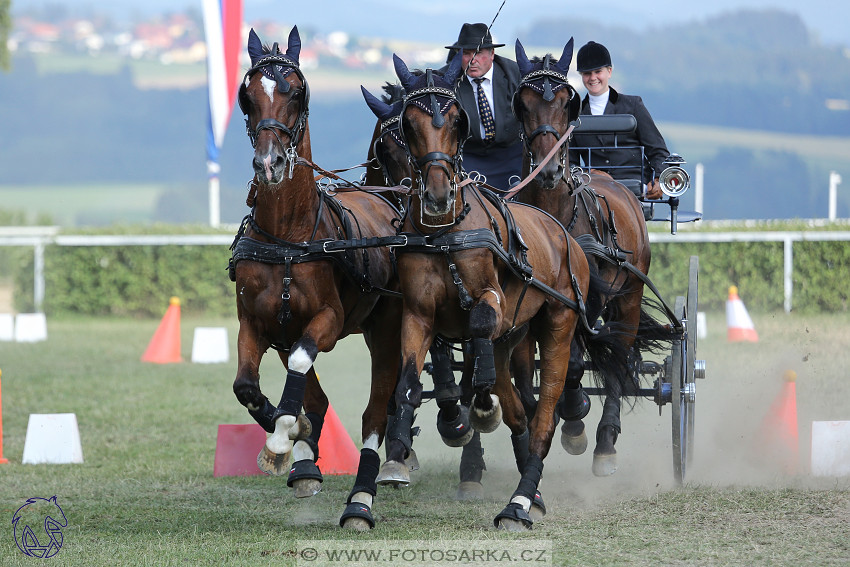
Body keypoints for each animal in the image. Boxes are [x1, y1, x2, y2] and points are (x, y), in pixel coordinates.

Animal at [229, 28, 404, 502]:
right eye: (248, 97)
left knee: (377, 412)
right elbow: (246, 386)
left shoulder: (327, 319)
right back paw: (305, 460)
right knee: (317, 398)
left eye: (296, 92)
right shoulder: (257, 323)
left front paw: (281, 436)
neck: (288, 238)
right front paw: (289, 432)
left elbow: (302, 361)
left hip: (386, 331)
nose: (268, 164)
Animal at [342, 53, 628, 532]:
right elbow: (408, 385)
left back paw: (520, 499)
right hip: (517, 338)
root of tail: (563, 234)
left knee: (546, 411)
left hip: (561, 323)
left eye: (458, 121)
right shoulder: (416, 315)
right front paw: (395, 458)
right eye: (403, 129)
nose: (435, 197)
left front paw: (476, 409)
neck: (444, 234)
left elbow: (477, 329)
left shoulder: (490, 299)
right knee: (519, 409)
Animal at [510, 37, 668, 478]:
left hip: (628, 295)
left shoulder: (588, 298)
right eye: (523, 103)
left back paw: (605, 442)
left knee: (618, 357)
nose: (548, 171)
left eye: (568, 102)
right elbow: (527, 373)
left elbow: (578, 364)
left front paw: (575, 416)